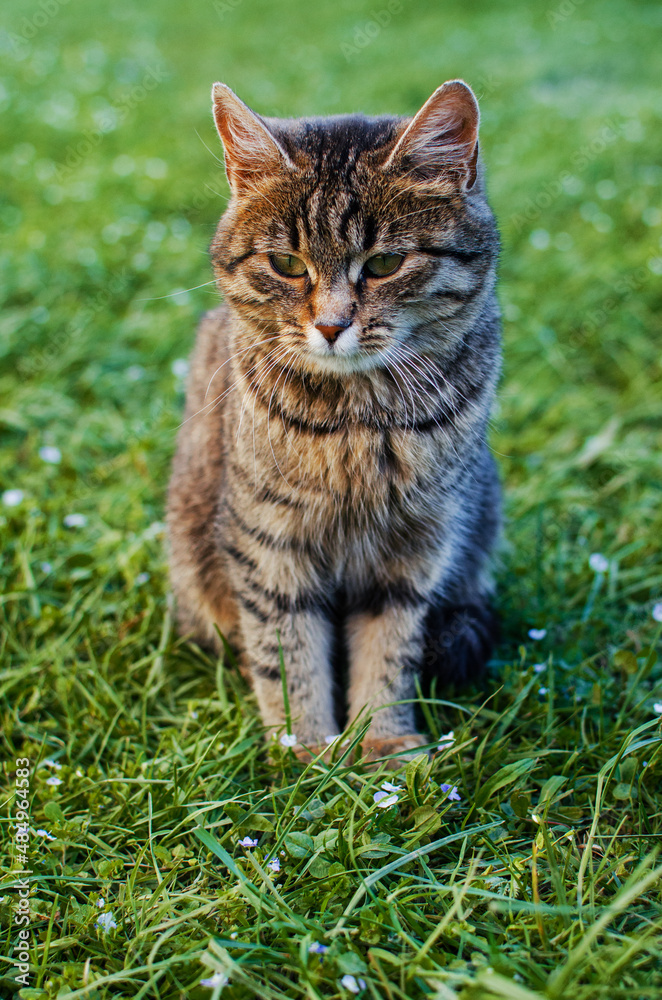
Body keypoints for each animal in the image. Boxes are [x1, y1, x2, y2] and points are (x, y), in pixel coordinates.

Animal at [167, 82, 504, 760]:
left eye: (384, 264)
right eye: (287, 264)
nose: (330, 325)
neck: (359, 420)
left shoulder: (419, 546)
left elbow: (389, 649)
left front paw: (382, 742)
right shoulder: (269, 543)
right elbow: (287, 652)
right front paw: (307, 748)